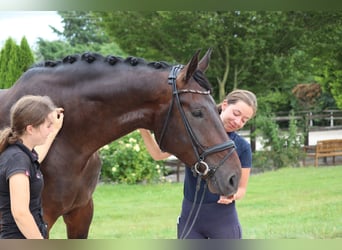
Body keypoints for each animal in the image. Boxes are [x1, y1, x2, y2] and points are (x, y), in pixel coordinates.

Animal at [0, 49, 240, 238]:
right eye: (198, 112)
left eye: (218, 109)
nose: (233, 177)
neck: (68, 141)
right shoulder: (40, 218)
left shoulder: (81, 212)